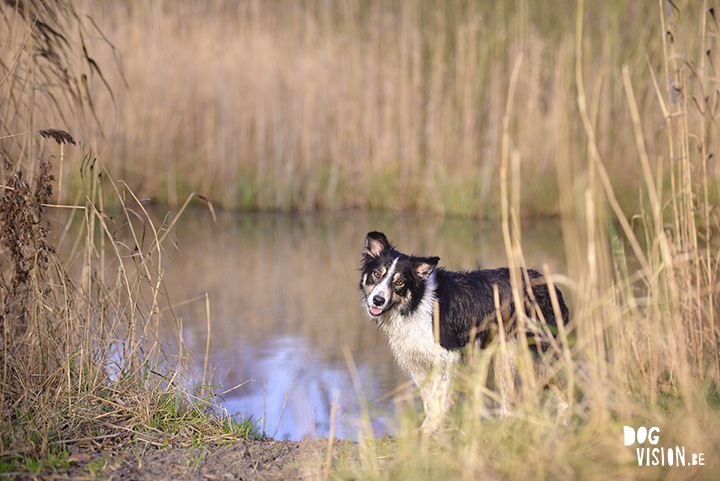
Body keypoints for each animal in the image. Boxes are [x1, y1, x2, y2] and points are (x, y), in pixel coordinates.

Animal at [360, 230, 568, 432]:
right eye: (377, 274)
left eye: (400, 282)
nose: (377, 300)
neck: (416, 303)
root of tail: (551, 285)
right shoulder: (416, 361)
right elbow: (429, 399)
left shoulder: (447, 356)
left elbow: (438, 400)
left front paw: (428, 430)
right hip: (505, 356)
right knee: (509, 404)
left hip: (542, 352)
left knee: (564, 392)